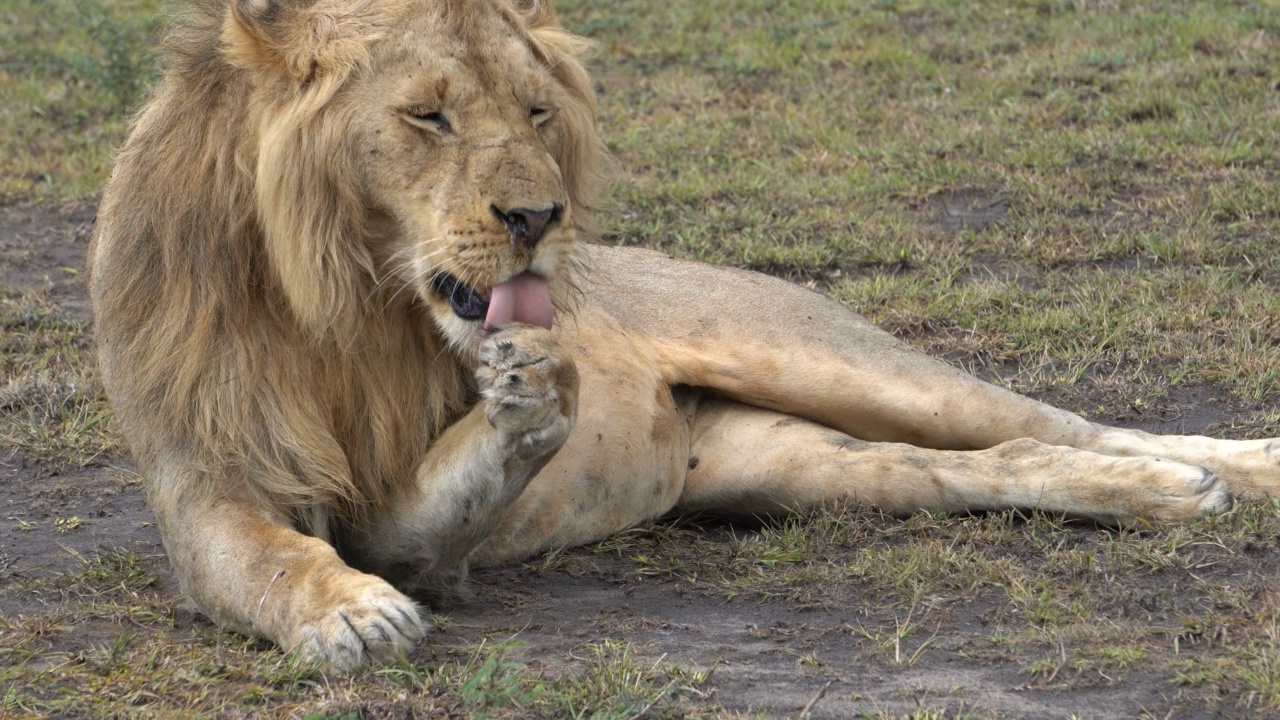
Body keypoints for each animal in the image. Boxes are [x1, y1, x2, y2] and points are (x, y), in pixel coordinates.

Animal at [90, 0, 1280, 666]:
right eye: (426, 116)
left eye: (536, 113)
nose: (539, 219)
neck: (348, 304)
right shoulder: (212, 481)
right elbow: (267, 558)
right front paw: (352, 613)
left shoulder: (428, 524)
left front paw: (536, 392)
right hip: (795, 469)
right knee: (992, 461)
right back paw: (1162, 497)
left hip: (830, 356)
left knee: (1070, 423)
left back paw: (1222, 472)